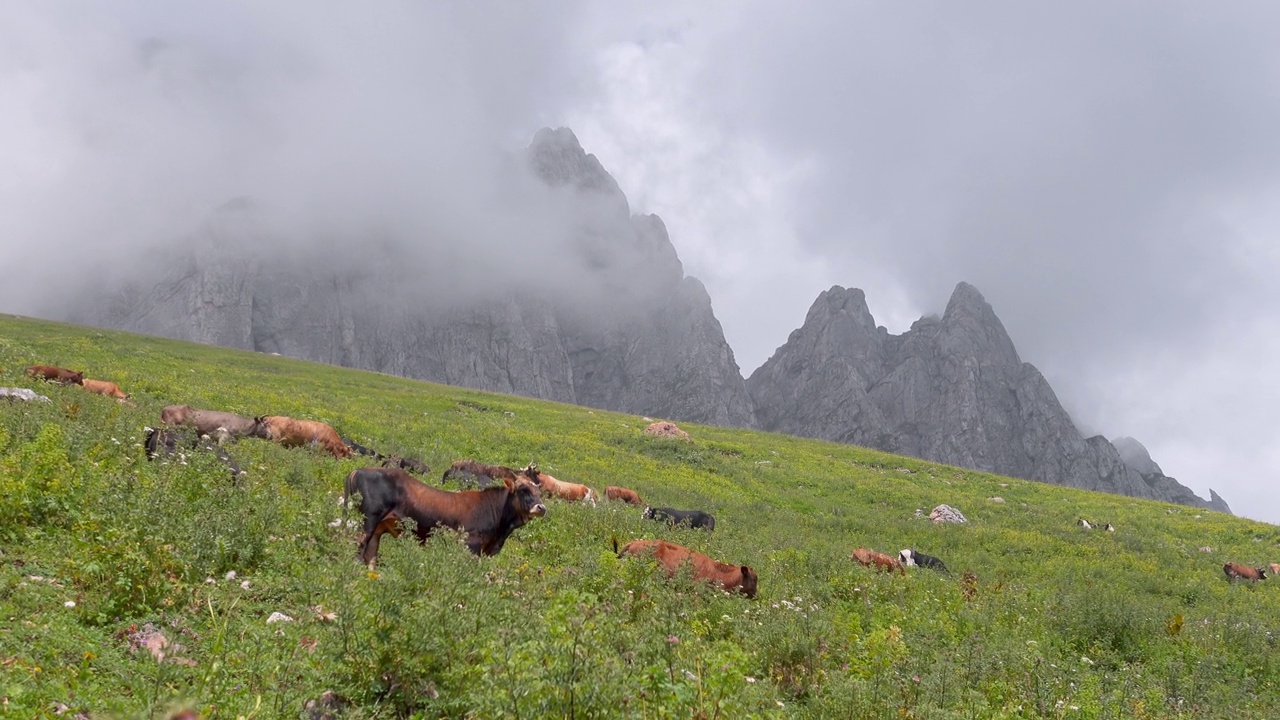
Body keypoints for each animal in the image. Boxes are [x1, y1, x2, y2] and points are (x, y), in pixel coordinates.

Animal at [343, 461, 547, 563]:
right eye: (523, 489)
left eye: (540, 493)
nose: (541, 508)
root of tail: (358, 470)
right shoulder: (471, 545)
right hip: (367, 523)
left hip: (377, 529)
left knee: (370, 556)